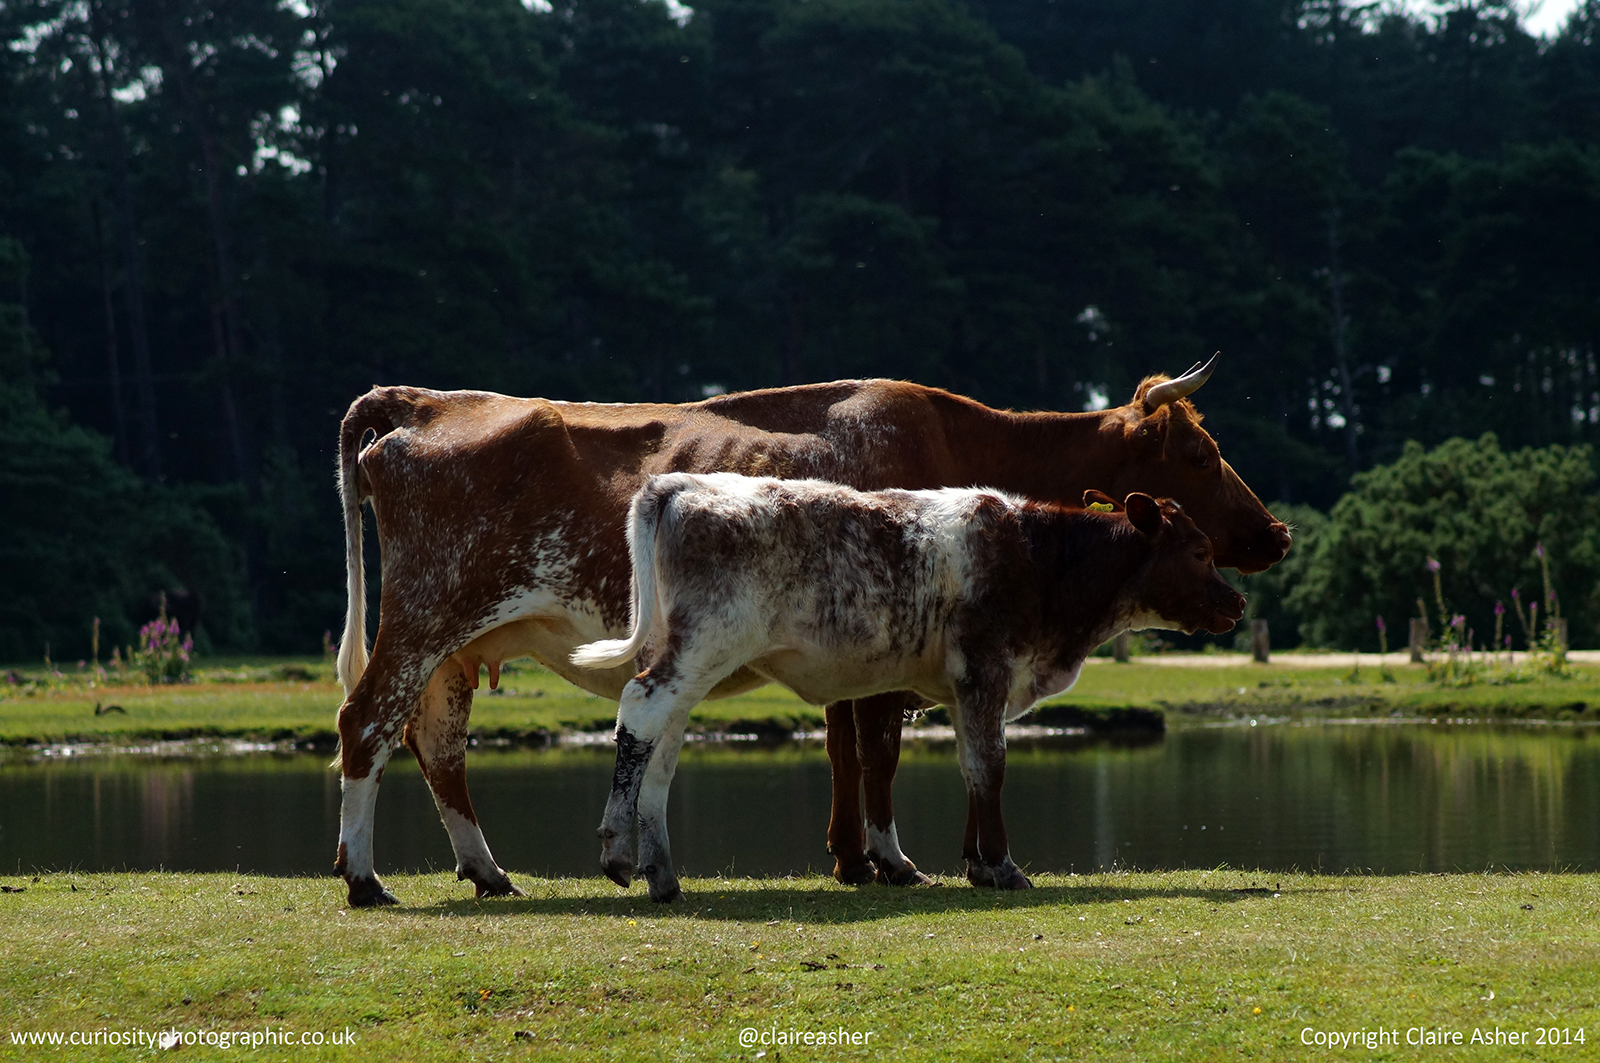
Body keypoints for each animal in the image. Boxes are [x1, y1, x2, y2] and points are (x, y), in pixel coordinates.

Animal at [570, 474, 1245, 902]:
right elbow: (990, 765)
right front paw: (1003, 866)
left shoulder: (963, 687)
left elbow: (969, 767)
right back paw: (619, 850)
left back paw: (661, 871)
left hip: (688, 656)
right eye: (1199, 549)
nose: (1237, 602)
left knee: (663, 745)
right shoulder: (986, 670)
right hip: (705, 646)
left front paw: (976, 864)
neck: (1040, 559)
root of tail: (681, 484)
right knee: (641, 709)